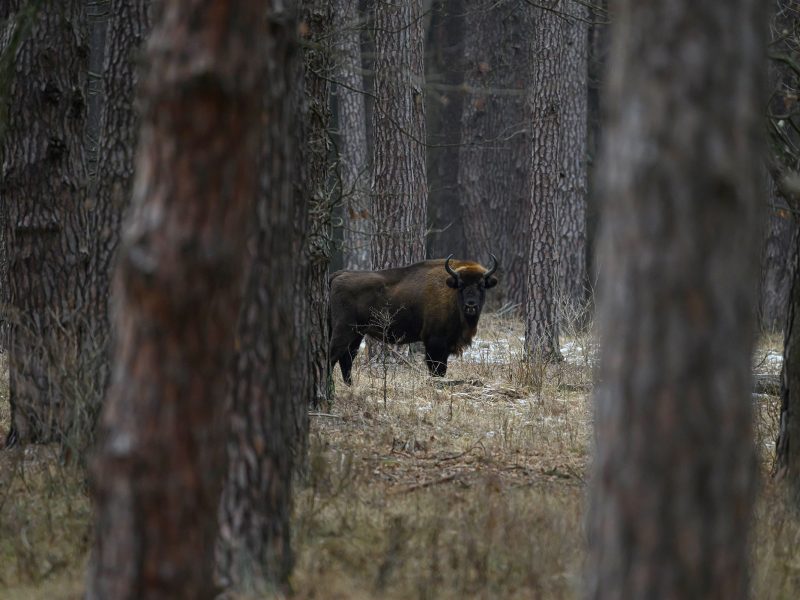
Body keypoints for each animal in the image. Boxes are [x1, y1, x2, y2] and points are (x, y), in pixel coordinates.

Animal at [329, 255, 499, 383]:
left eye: (481, 285)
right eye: (461, 285)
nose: (471, 305)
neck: (450, 291)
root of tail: (338, 275)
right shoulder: (435, 342)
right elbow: (437, 369)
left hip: (357, 334)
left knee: (346, 359)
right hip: (344, 330)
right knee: (334, 355)